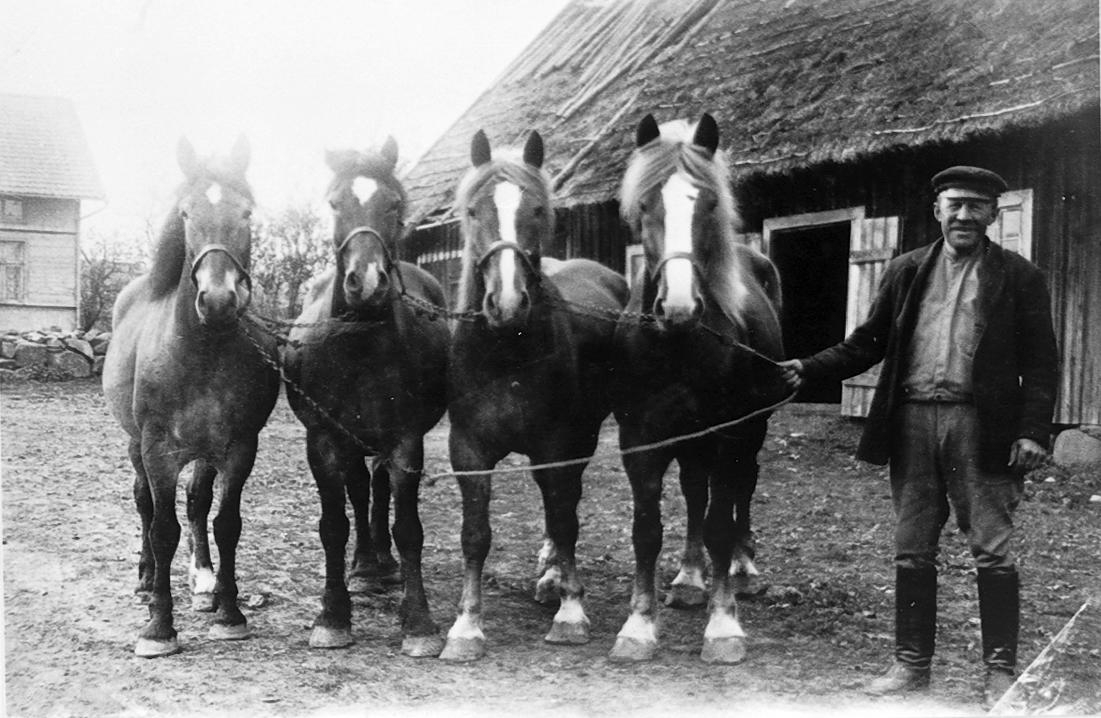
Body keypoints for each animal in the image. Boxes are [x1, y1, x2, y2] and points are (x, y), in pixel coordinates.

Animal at [102, 136, 280, 657]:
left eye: (247, 212)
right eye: (185, 213)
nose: (218, 301)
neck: (201, 352)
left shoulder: (239, 448)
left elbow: (225, 523)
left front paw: (230, 612)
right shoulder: (158, 450)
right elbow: (163, 528)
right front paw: (159, 626)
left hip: (204, 452)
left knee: (198, 503)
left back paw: (203, 582)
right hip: (136, 446)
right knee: (144, 503)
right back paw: (146, 581)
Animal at [282, 137, 449, 657]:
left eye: (393, 204)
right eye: (336, 203)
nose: (368, 282)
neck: (358, 343)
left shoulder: (405, 440)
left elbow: (408, 528)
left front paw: (418, 622)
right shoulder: (323, 441)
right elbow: (334, 525)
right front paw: (333, 615)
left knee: (375, 489)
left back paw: (382, 565)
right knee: (359, 491)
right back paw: (364, 567)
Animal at [441, 129, 629, 662]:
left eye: (539, 210)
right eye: (473, 211)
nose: (506, 303)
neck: (506, 352)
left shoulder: (557, 443)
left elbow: (564, 519)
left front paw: (571, 612)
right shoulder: (468, 450)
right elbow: (475, 534)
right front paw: (467, 625)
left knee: (564, 504)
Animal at [609, 113, 787, 664]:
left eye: (709, 204)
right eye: (646, 205)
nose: (679, 306)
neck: (679, 345)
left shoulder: (728, 435)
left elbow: (720, 525)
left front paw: (724, 625)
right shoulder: (641, 440)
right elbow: (647, 530)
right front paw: (639, 624)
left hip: (750, 430)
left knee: (742, 489)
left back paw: (743, 570)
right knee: (693, 491)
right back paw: (689, 578)